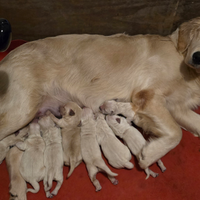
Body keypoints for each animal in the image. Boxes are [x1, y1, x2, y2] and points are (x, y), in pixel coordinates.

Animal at [0, 17, 200, 170]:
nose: (197, 57)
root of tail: (6, 59)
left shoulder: (177, 108)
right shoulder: (147, 95)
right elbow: (177, 133)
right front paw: (150, 154)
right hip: (22, 109)